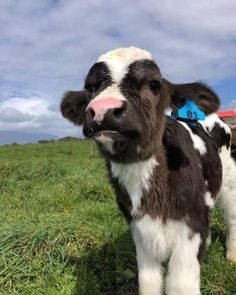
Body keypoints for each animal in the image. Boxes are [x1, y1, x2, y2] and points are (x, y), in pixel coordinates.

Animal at [60, 47, 236, 294]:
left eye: (154, 85)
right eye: (90, 88)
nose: (103, 110)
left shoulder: (189, 229)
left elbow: (181, 284)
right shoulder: (140, 231)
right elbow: (148, 281)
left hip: (229, 180)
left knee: (232, 215)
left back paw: (231, 255)